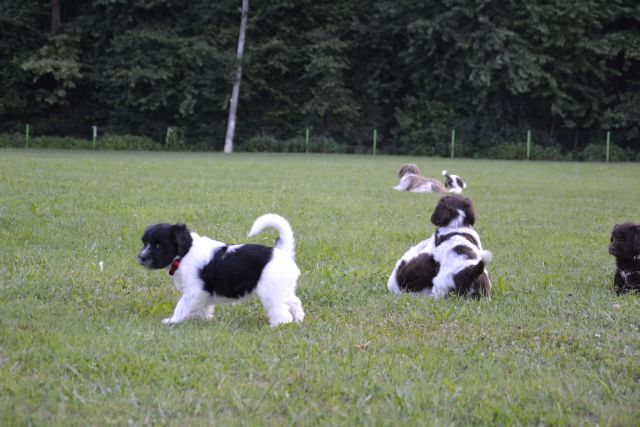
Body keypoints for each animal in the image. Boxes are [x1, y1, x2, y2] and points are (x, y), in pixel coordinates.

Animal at [137, 214, 304, 328]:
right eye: (144, 243)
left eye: (158, 245)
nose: (141, 258)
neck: (185, 253)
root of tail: (282, 252)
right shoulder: (201, 294)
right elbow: (202, 308)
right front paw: (201, 319)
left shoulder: (194, 291)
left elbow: (181, 306)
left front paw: (173, 321)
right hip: (281, 290)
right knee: (295, 302)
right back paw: (299, 320)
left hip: (271, 292)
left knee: (281, 310)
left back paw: (279, 325)